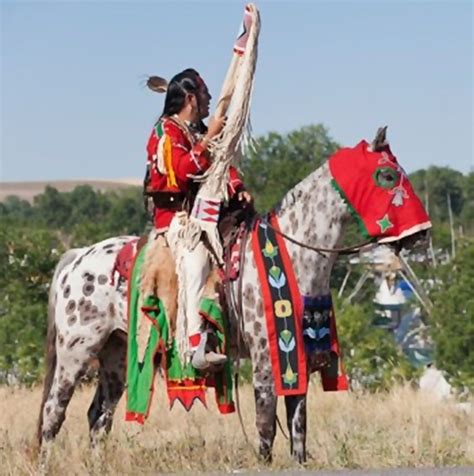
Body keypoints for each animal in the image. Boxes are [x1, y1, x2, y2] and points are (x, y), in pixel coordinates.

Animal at [36, 128, 430, 462]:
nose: (421, 233)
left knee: (98, 416)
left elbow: (298, 427)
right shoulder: (267, 359)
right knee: (54, 413)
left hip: (117, 355)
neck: (295, 253)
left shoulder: (298, 358)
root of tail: (77, 259)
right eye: (387, 176)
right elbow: (266, 426)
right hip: (75, 352)